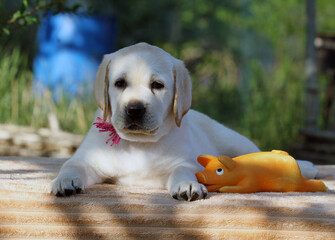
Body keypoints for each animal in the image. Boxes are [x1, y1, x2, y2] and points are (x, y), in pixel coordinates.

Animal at [51, 43, 318, 201]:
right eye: (120, 83)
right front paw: (65, 181)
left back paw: (305, 165)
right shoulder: (88, 160)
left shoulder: (184, 162)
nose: (135, 109)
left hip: (235, 141)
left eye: (157, 85)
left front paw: (187, 186)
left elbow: (183, 171)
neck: (138, 144)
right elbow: (72, 165)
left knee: (260, 157)